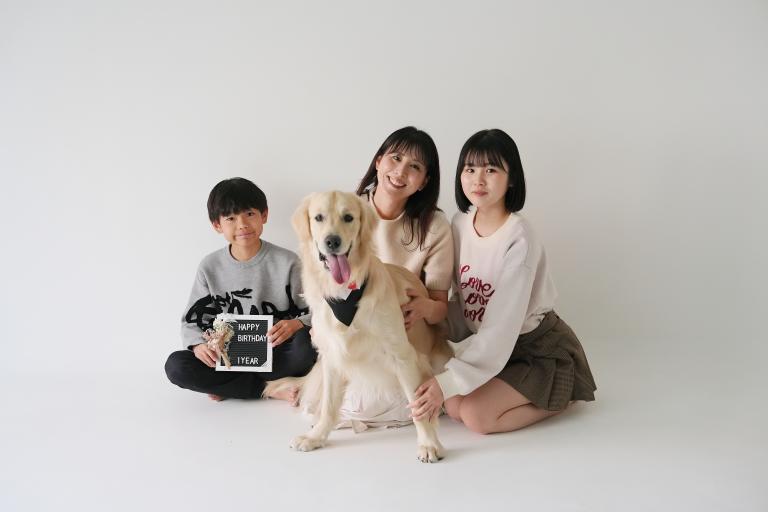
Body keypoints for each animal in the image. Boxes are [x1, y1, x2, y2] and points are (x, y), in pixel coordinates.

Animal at [265, 191, 451, 462]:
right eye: (318, 217)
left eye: (348, 217)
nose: (332, 241)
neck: (344, 295)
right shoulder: (331, 354)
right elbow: (328, 406)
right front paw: (317, 436)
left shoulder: (403, 355)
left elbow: (419, 405)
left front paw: (428, 443)